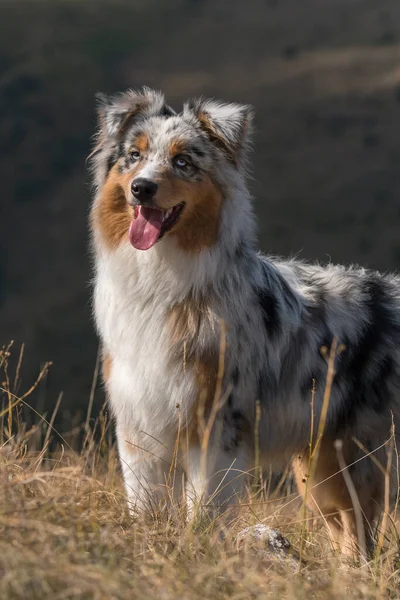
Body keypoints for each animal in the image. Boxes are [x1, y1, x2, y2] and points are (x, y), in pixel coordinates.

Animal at [89, 88, 398, 556]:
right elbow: (145, 502)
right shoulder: (139, 422)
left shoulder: (217, 425)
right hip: (322, 470)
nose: (142, 188)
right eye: (134, 156)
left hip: (360, 460)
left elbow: (205, 507)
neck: (162, 278)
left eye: (183, 161)